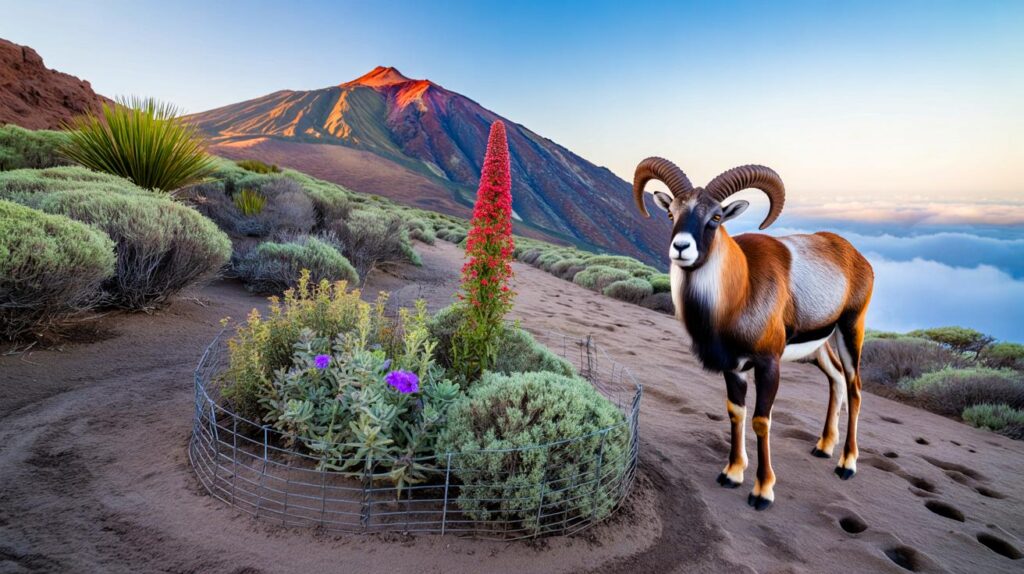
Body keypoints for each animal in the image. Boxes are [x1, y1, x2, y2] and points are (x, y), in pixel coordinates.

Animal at [632, 157, 874, 511]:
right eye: (671, 213)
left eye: (716, 217)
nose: (681, 248)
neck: (741, 289)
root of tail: (856, 256)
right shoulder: (733, 368)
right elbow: (736, 412)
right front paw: (732, 474)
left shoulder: (768, 365)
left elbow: (761, 420)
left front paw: (762, 492)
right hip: (819, 349)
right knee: (837, 380)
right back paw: (823, 447)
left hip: (850, 331)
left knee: (854, 388)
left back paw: (846, 465)